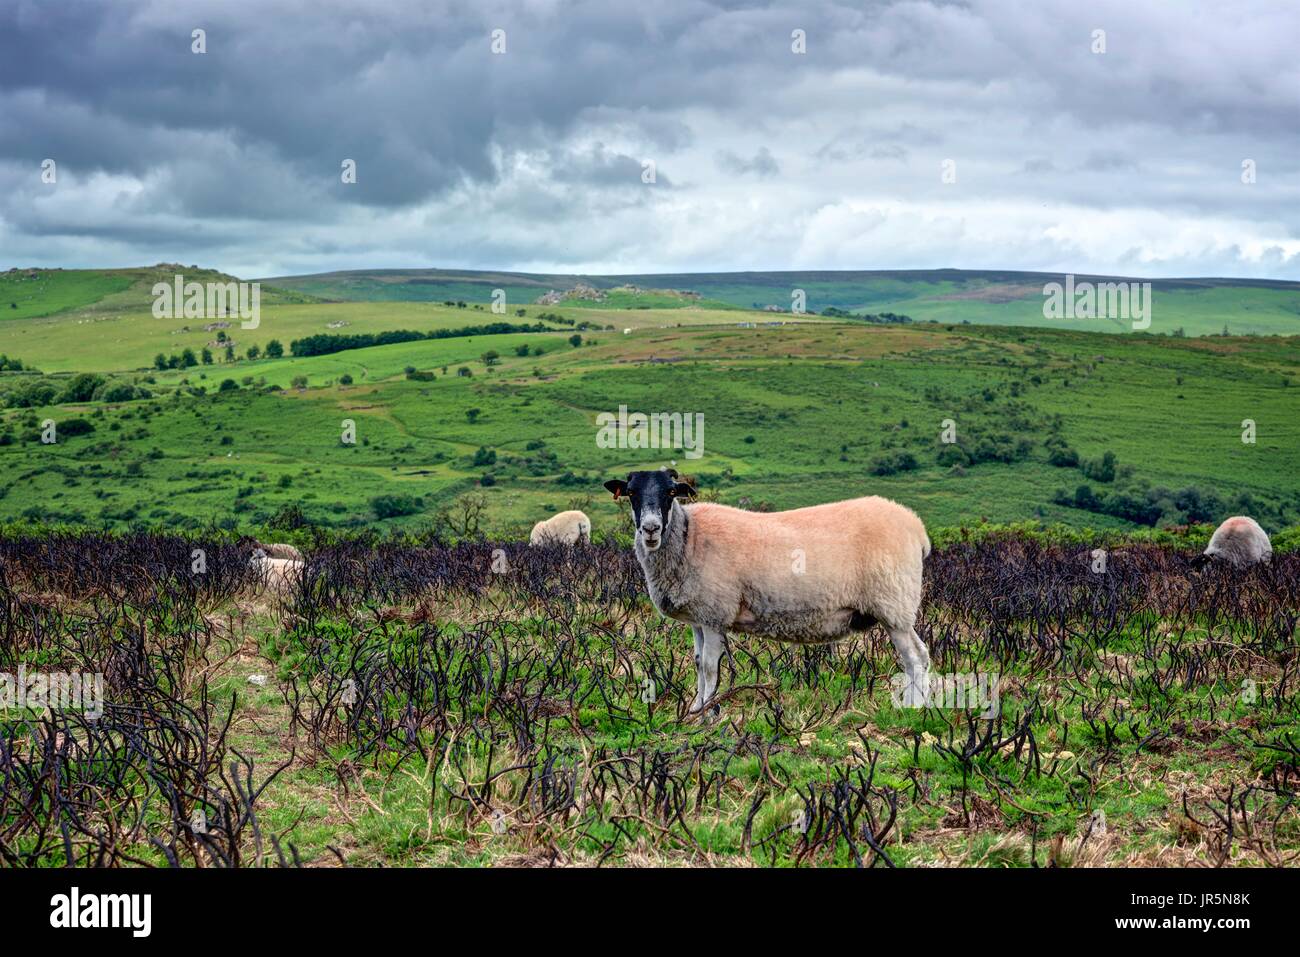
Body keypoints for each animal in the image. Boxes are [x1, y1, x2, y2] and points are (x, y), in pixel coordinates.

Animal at [603, 468, 930, 712]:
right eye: (631, 493)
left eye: (670, 493)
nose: (651, 528)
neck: (688, 537)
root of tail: (916, 527)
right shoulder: (698, 617)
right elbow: (697, 663)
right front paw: (695, 708)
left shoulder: (715, 613)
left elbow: (709, 668)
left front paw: (707, 713)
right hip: (897, 609)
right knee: (923, 655)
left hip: (894, 604)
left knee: (913, 658)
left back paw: (913, 708)